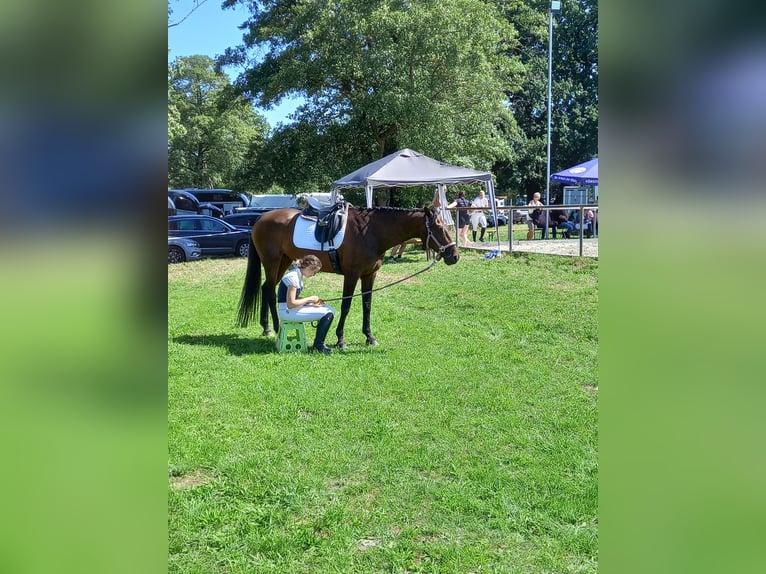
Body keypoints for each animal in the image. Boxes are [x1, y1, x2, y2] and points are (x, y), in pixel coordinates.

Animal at [237, 207, 460, 352]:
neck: (371, 232)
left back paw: (266, 327)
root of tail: (261, 218)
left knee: (266, 288)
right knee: (269, 291)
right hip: (272, 262)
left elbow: (367, 305)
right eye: (439, 227)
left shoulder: (370, 275)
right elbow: (346, 305)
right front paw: (341, 340)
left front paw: (369, 337)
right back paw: (275, 327)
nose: (454, 255)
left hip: (284, 260)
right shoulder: (352, 275)